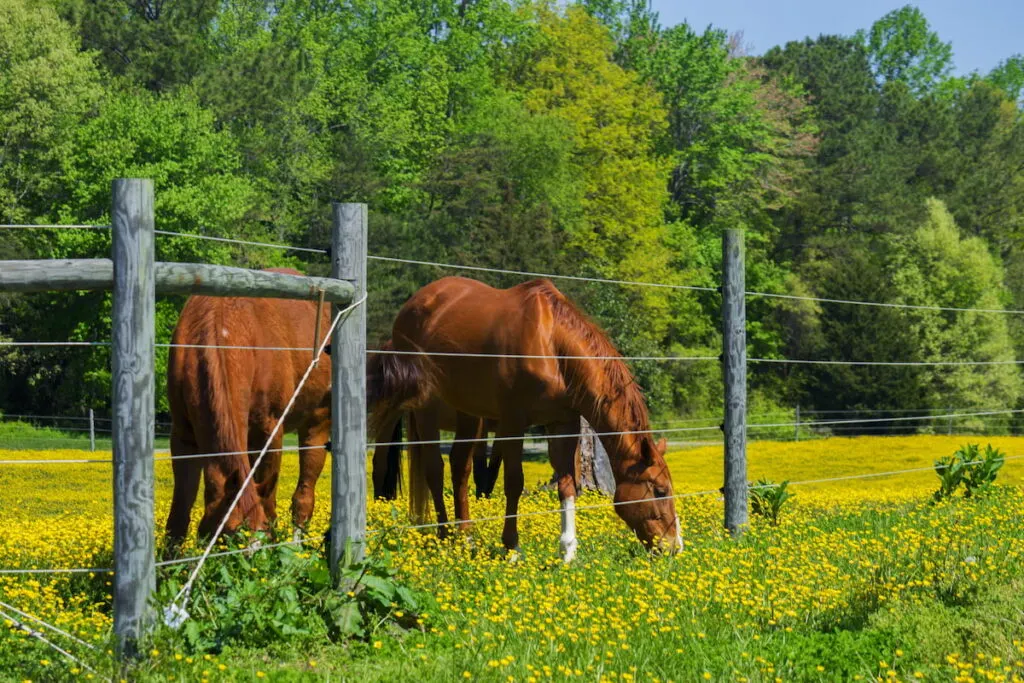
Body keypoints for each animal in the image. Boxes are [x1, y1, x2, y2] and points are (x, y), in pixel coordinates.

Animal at [164, 270, 331, 548]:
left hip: (316, 424)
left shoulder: (270, 431)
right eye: (223, 539)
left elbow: (269, 503)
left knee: (303, 497)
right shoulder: (183, 436)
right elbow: (178, 514)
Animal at [366, 274, 679, 557]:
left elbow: (567, 485)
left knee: (459, 469)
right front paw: (512, 547)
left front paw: (568, 552)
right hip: (426, 410)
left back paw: (466, 538)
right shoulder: (513, 423)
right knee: (433, 469)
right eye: (660, 490)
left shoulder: (562, 423)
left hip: (468, 413)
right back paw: (443, 538)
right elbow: (513, 483)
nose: (674, 547)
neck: (552, 345)